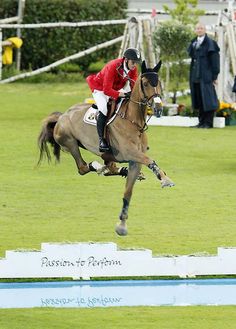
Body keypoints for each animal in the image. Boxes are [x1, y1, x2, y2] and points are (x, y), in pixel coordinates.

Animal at [37, 60, 174, 234]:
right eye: (145, 83)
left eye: (159, 83)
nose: (158, 108)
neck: (132, 120)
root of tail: (61, 116)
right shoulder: (129, 153)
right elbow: (149, 160)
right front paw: (165, 179)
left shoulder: (134, 159)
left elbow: (129, 188)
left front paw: (122, 225)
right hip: (71, 143)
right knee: (83, 167)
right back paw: (98, 167)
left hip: (103, 153)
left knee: (110, 168)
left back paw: (117, 170)